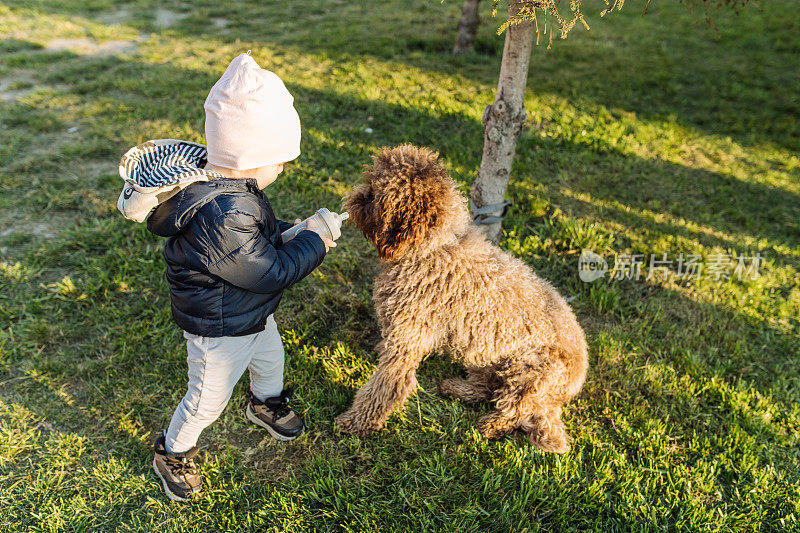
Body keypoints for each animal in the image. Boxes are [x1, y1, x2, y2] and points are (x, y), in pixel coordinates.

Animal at [334, 143, 592, 450]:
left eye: (377, 194)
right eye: (371, 181)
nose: (356, 196)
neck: (432, 248)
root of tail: (565, 392)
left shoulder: (407, 341)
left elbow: (386, 386)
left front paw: (356, 422)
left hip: (531, 370)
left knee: (516, 408)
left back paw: (491, 426)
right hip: (488, 356)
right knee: (488, 387)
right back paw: (457, 388)